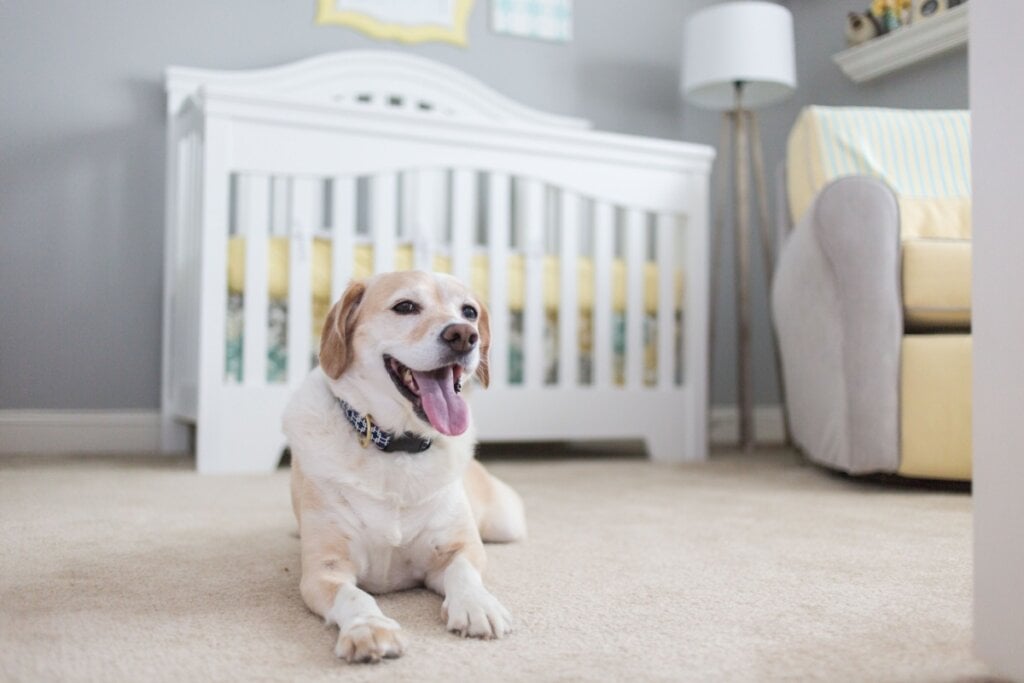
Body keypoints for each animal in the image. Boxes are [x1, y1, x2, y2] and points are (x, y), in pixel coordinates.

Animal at [284, 270, 524, 663]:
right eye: (406, 307)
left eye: (469, 312)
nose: (463, 335)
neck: (397, 446)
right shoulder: (325, 569)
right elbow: (354, 596)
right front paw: (368, 627)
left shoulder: (459, 549)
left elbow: (465, 574)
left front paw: (477, 605)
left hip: (507, 525)